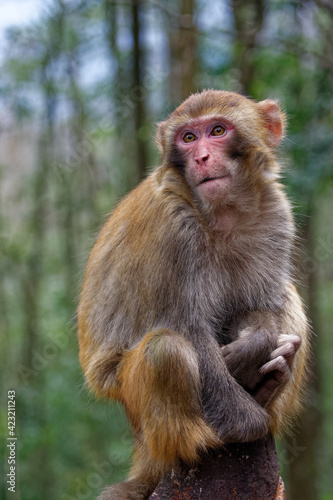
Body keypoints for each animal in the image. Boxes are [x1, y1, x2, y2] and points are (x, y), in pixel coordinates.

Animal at [78, 91, 308, 500]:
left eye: (217, 131)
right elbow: (188, 329)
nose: (201, 157)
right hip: (128, 398)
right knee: (164, 349)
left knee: (288, 295)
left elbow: (259, 305)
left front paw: (252, 350)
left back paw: (267, 388)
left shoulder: (277, 216)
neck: (222, 214)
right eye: (188, 138)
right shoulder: (172, 229)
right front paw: (247, 423)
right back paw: (204, 438)